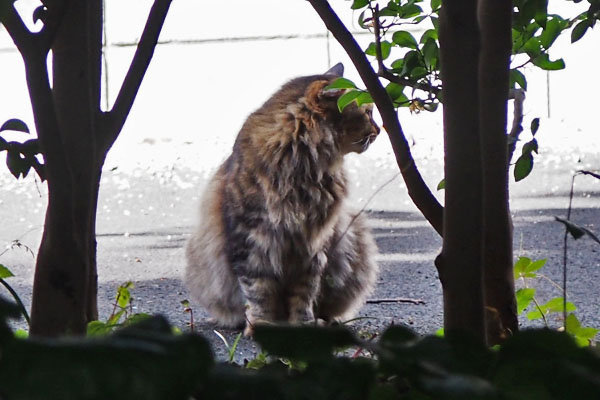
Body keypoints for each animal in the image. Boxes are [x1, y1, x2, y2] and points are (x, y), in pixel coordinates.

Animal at [185, 65, 380, 334]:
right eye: (368, 112)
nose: (379, 131)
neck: (303, 166)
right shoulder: (252, 241)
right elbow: (259, 292)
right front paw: (262, 324)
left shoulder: (312, 244)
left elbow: (304, 293)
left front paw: (304, 323)